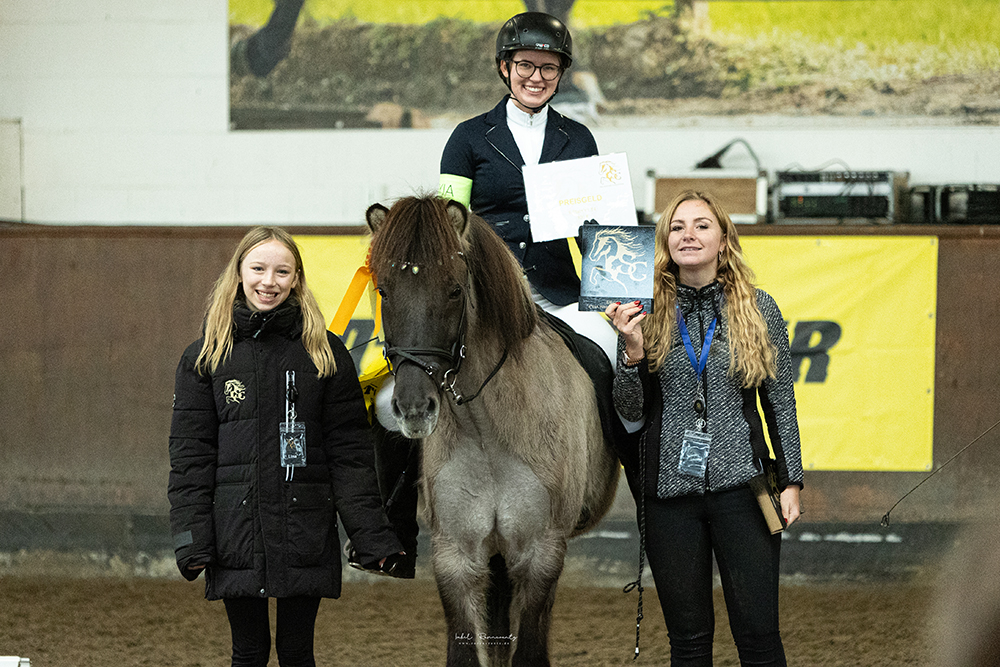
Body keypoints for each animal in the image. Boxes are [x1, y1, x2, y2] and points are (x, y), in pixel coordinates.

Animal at [366, 197, 616, 667]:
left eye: (454, 290)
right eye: (384, 292)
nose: (414, 407)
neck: (486, 430)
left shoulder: (541, 554)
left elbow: (530, 651)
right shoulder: (455, 556)